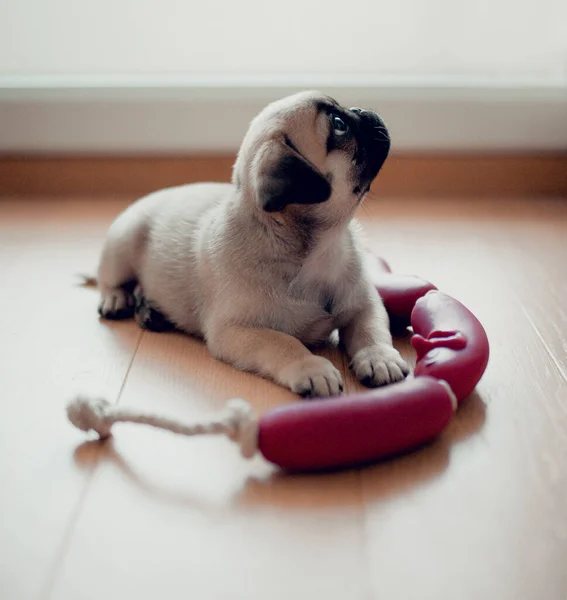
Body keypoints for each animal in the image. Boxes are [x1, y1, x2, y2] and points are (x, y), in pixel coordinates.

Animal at [96, 89, 408, 396]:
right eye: (339, 125)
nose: (360, 109)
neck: (318, 249)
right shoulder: (236, 331)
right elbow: (283, 343)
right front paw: (311, 368)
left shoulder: (364, 302)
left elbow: (371, 329)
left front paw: (380, 358)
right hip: (123, 244)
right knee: (112, 280)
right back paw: (117, 299)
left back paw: (151, 311)